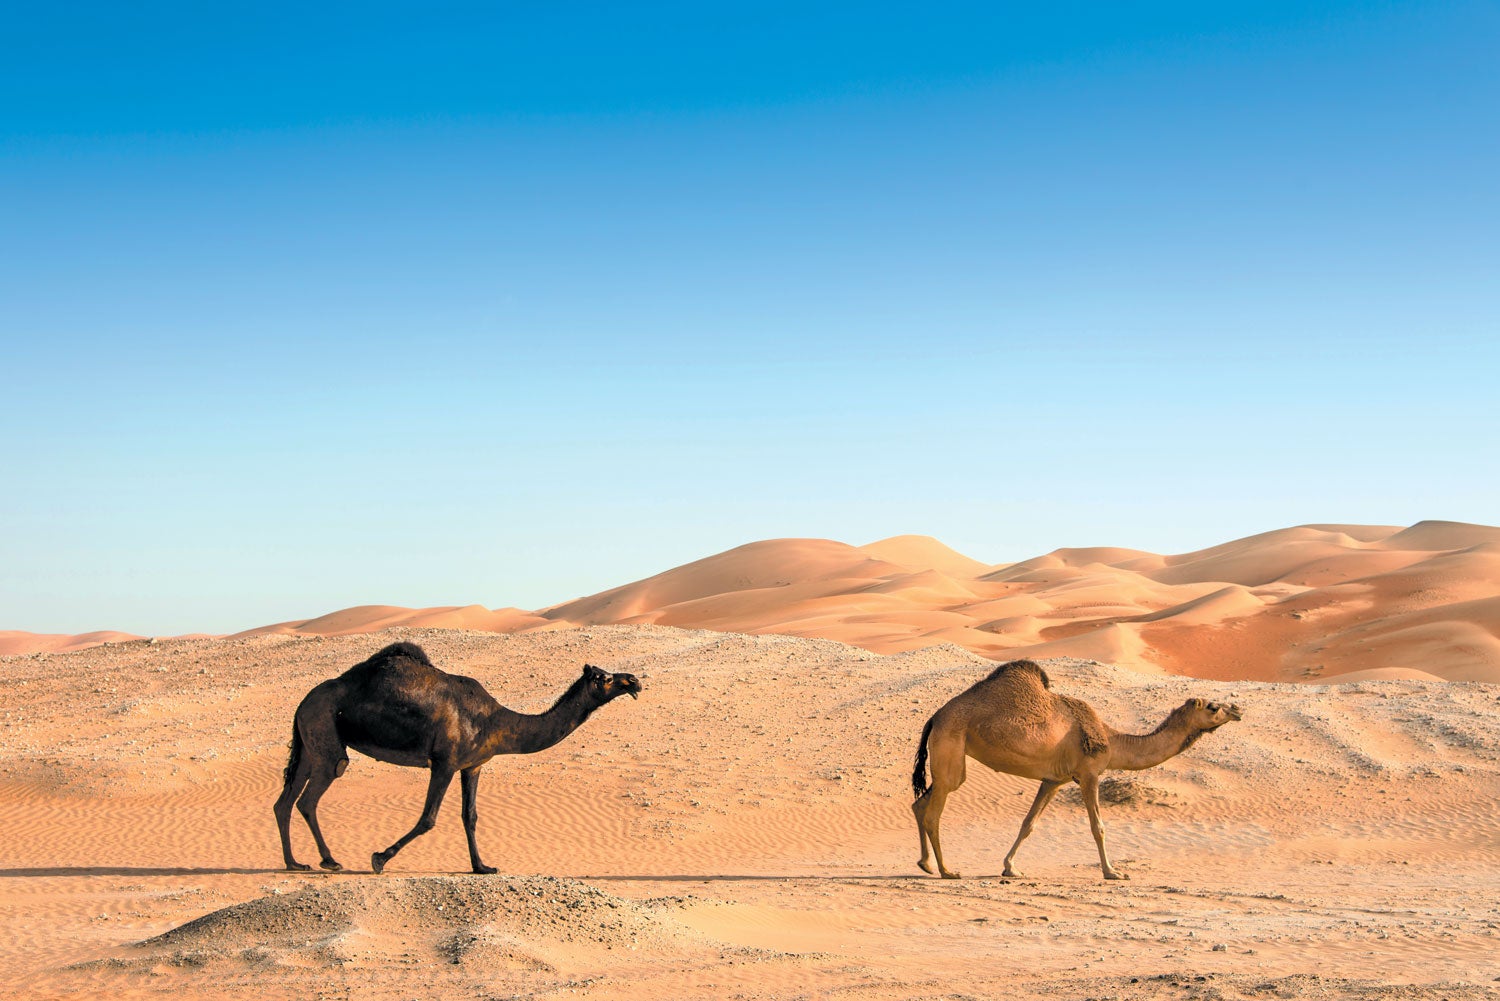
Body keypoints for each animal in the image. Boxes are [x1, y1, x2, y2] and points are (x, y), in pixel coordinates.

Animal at [276, 645, 639, 870]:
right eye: (604, 677)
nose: (634, 679)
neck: (493, 720)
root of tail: (301, 703)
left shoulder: (472, 765)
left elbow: (470, 816)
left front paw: (482, 866)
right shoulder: (445, 762)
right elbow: (429, 818)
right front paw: (379, 858)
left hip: (309, 742)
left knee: (286, 800)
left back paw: (294, 863)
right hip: (325, 734)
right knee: (311, 795)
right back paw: (329, 860)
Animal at [912, 660, 1242, 882]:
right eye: (1213, 707)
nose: (1237, 710)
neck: (1111, 739)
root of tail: (934, 717)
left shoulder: (1053, 780)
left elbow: (1028, 824)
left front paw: (1011, 867)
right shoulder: (1089, 774)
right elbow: (1098, 827)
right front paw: (1113, 872)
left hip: (950, 758)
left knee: (919, 804)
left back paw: (925, 864)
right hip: (952, 750)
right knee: (934, 811)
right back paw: (946, 870)